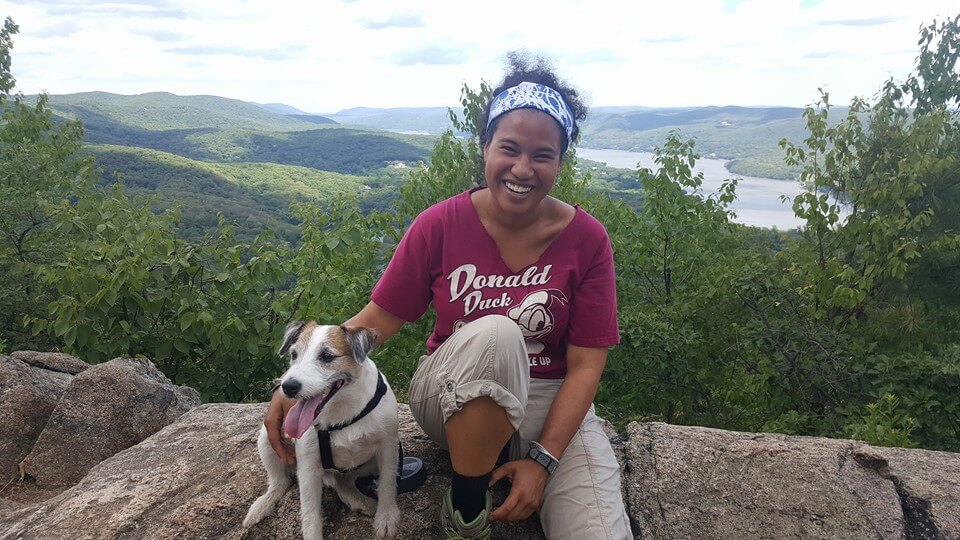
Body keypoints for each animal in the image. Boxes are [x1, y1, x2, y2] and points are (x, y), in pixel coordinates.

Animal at [248, 322, 402, 536]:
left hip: (368, 463)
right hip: (267, 439)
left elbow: (387, 482)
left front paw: (386, 517)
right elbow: (310, 514)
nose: (288, 386)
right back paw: (261, 505)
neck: (341, 411)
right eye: (294, 354)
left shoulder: (388, 446)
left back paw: (360, 500)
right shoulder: (308, 467)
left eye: (327, 356)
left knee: (344, 482)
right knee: (279, 481)